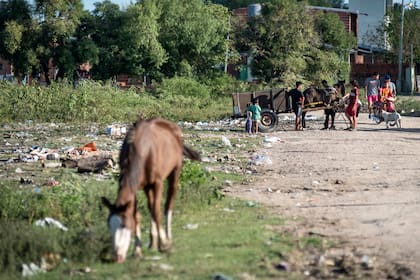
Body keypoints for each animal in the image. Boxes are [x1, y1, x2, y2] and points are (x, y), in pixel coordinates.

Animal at [101, 116, 200, 262]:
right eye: (109, 225)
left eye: (125, 225)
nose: (117, 257)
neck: (143, 151)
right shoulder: (136, 187)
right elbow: (137, 214)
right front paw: (137, 251)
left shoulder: (158, 183)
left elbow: (156, 211)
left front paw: (164, 244)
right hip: (147, 187)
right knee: (151, 204)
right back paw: (153, 243)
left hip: (175, 172)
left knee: (168, 204)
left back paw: (168, 239)